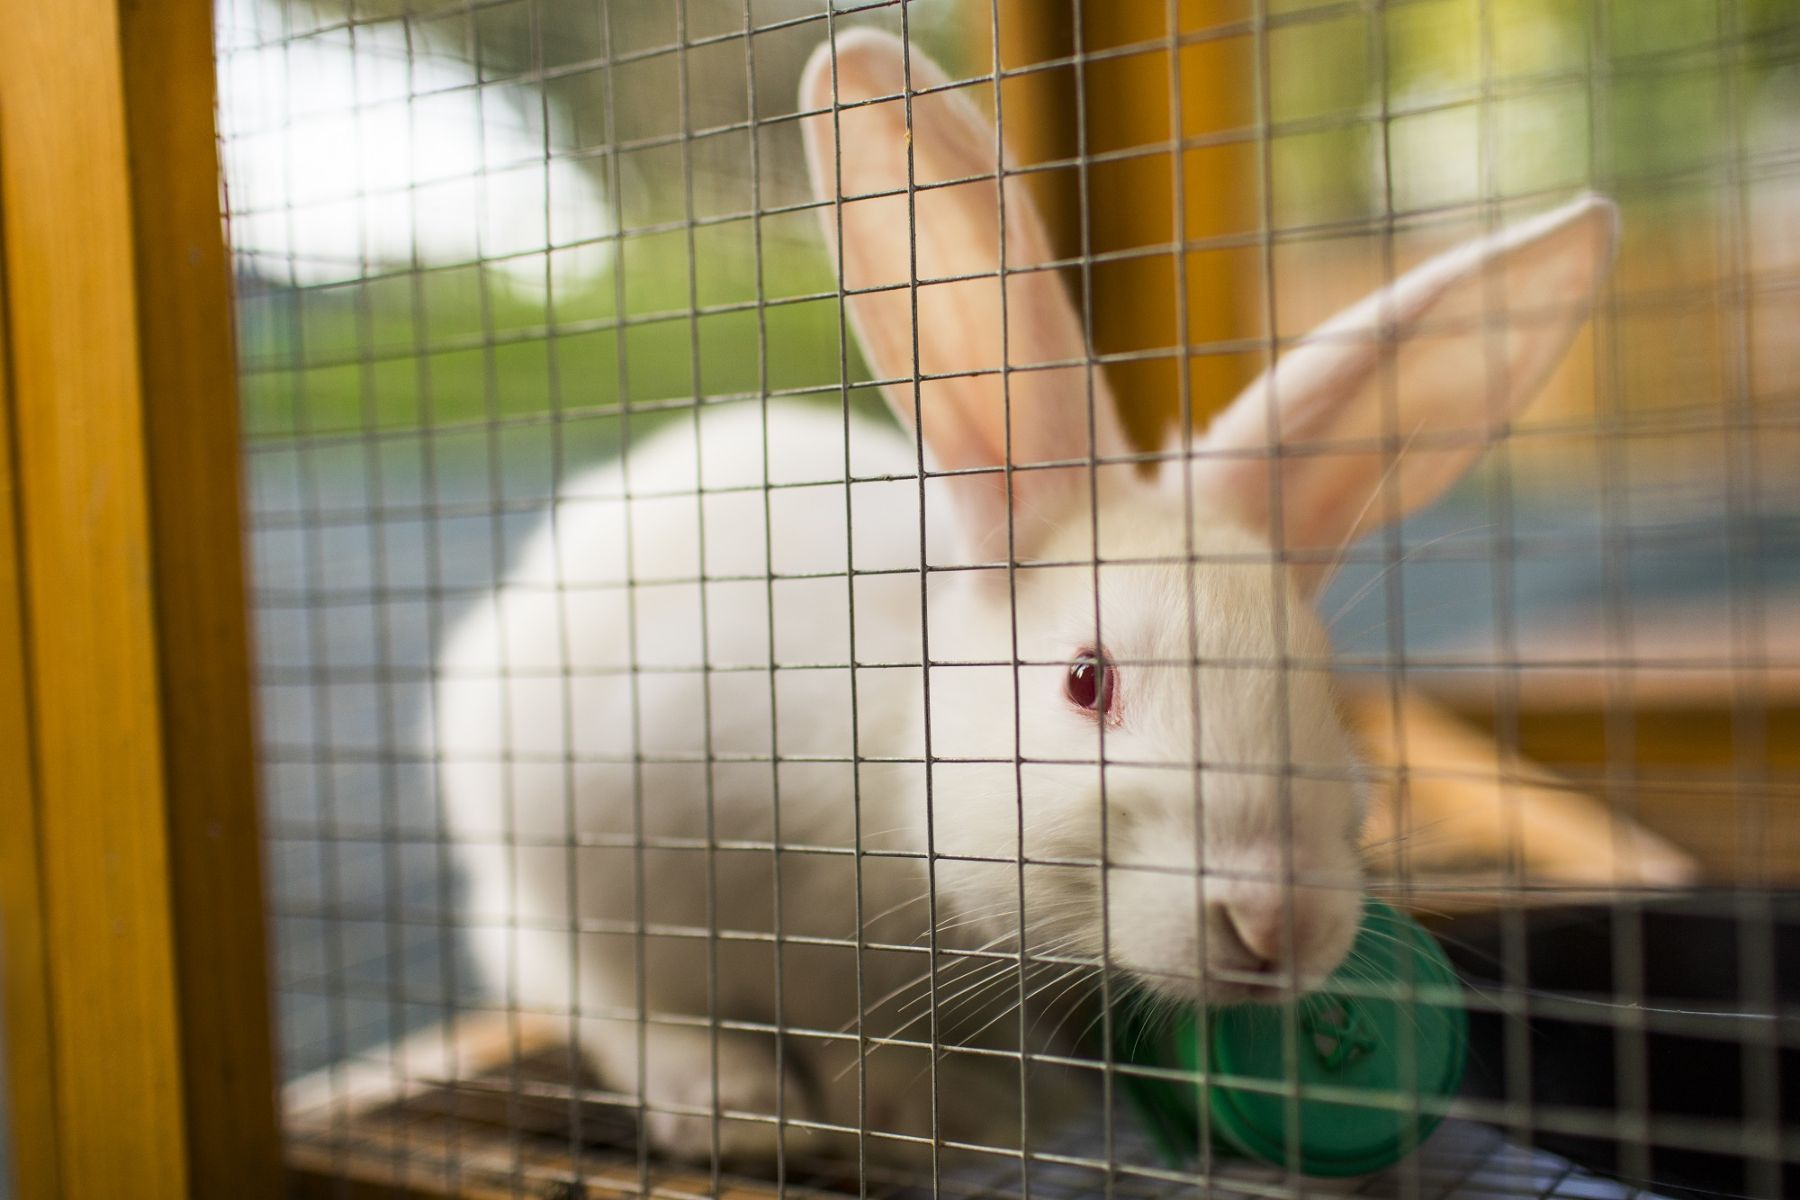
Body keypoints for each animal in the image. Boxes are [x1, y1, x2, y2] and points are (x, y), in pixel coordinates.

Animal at [432, 27, 1618, 1170]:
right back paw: (729, 1106)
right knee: (598, 993)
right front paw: (926, 1115)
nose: (1277, 925)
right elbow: (831, 1029)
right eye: (1085, 683)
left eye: (1325, 691)